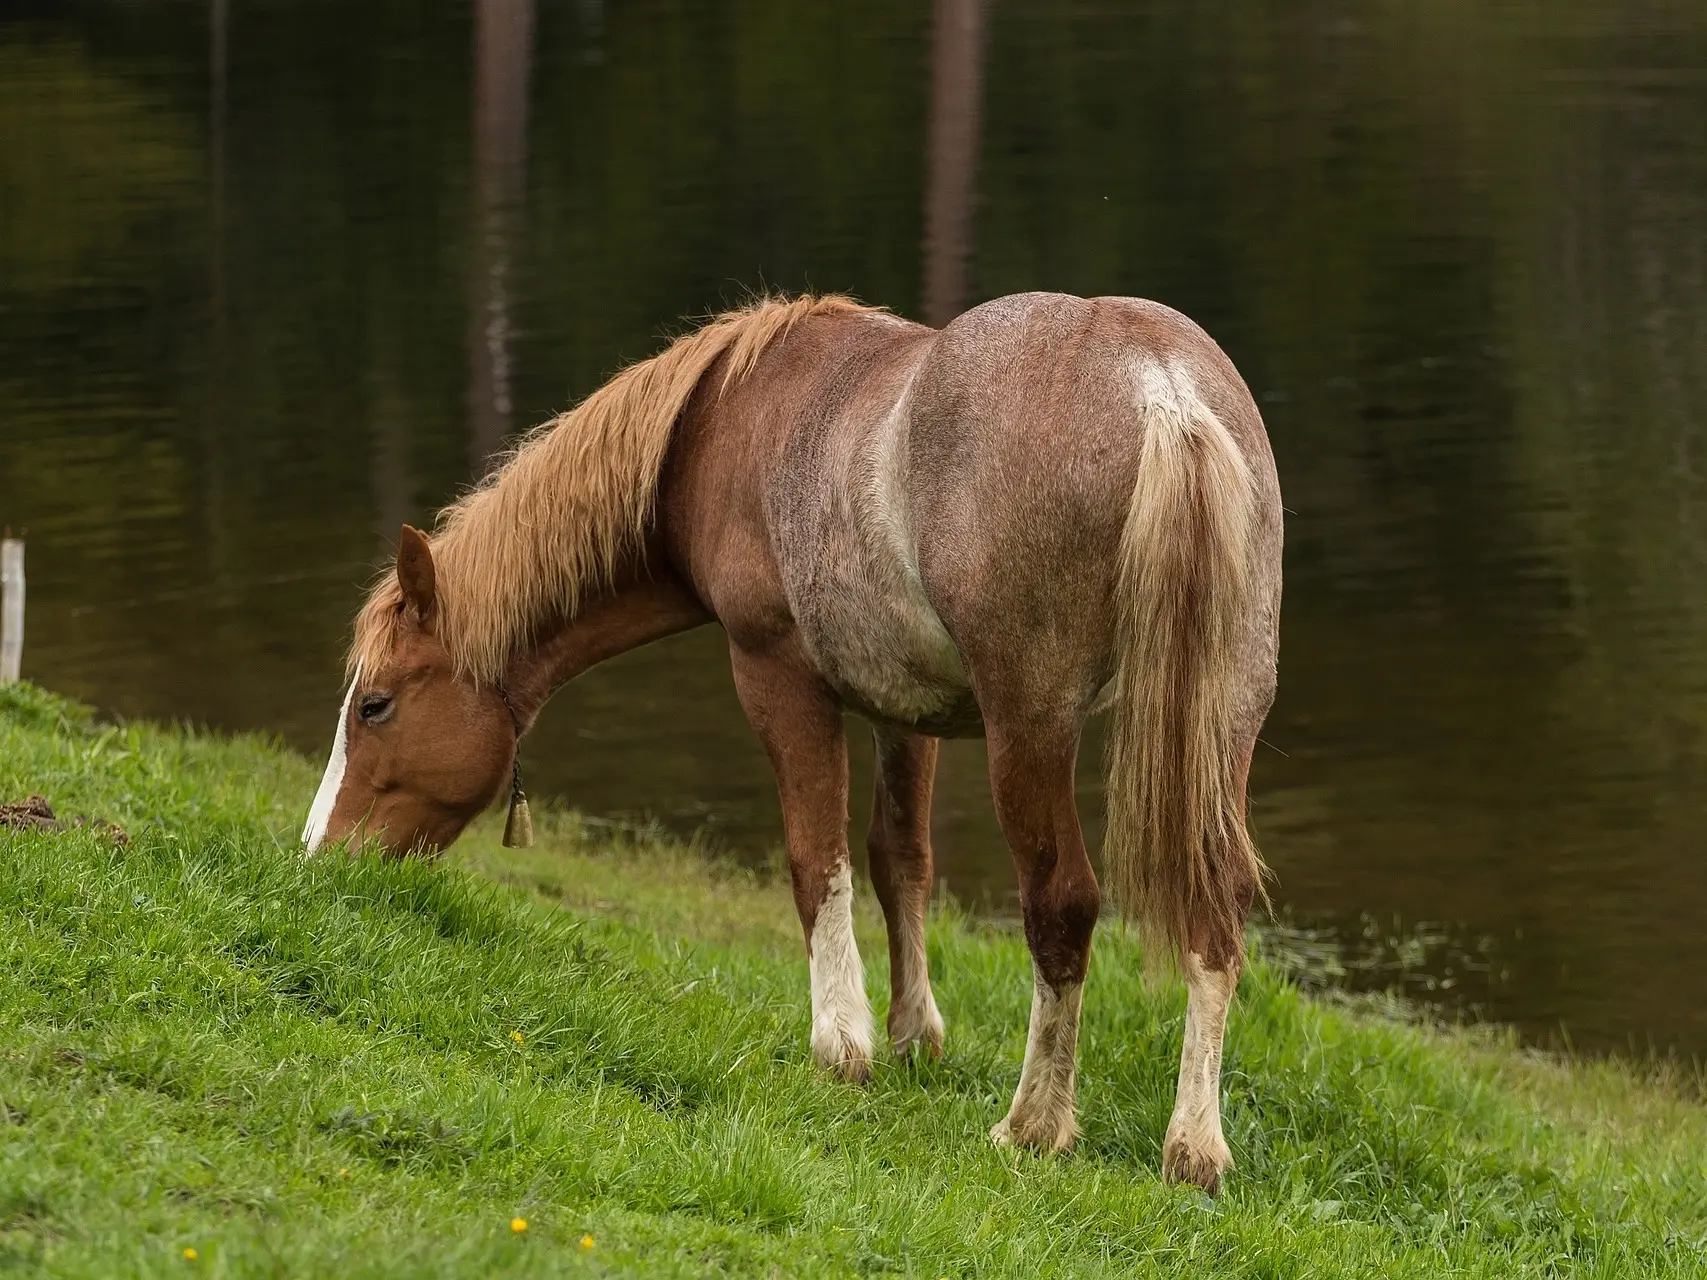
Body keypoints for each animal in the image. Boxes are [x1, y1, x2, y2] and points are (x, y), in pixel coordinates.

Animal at [303, 290, 1283, 1194]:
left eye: (375, 706)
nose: (319, 858)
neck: (713, 428)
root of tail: (1161, 389)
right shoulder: (905, 709)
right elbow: (898, 861)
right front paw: (912, 1035)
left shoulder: (775, 677)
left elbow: (817, 862)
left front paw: (840, 1044)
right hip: (1221, 719)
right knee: (1216, 907)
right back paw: (1194, 1149)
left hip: (1030, 728)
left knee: (1061, 904)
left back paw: (1033, 1125)